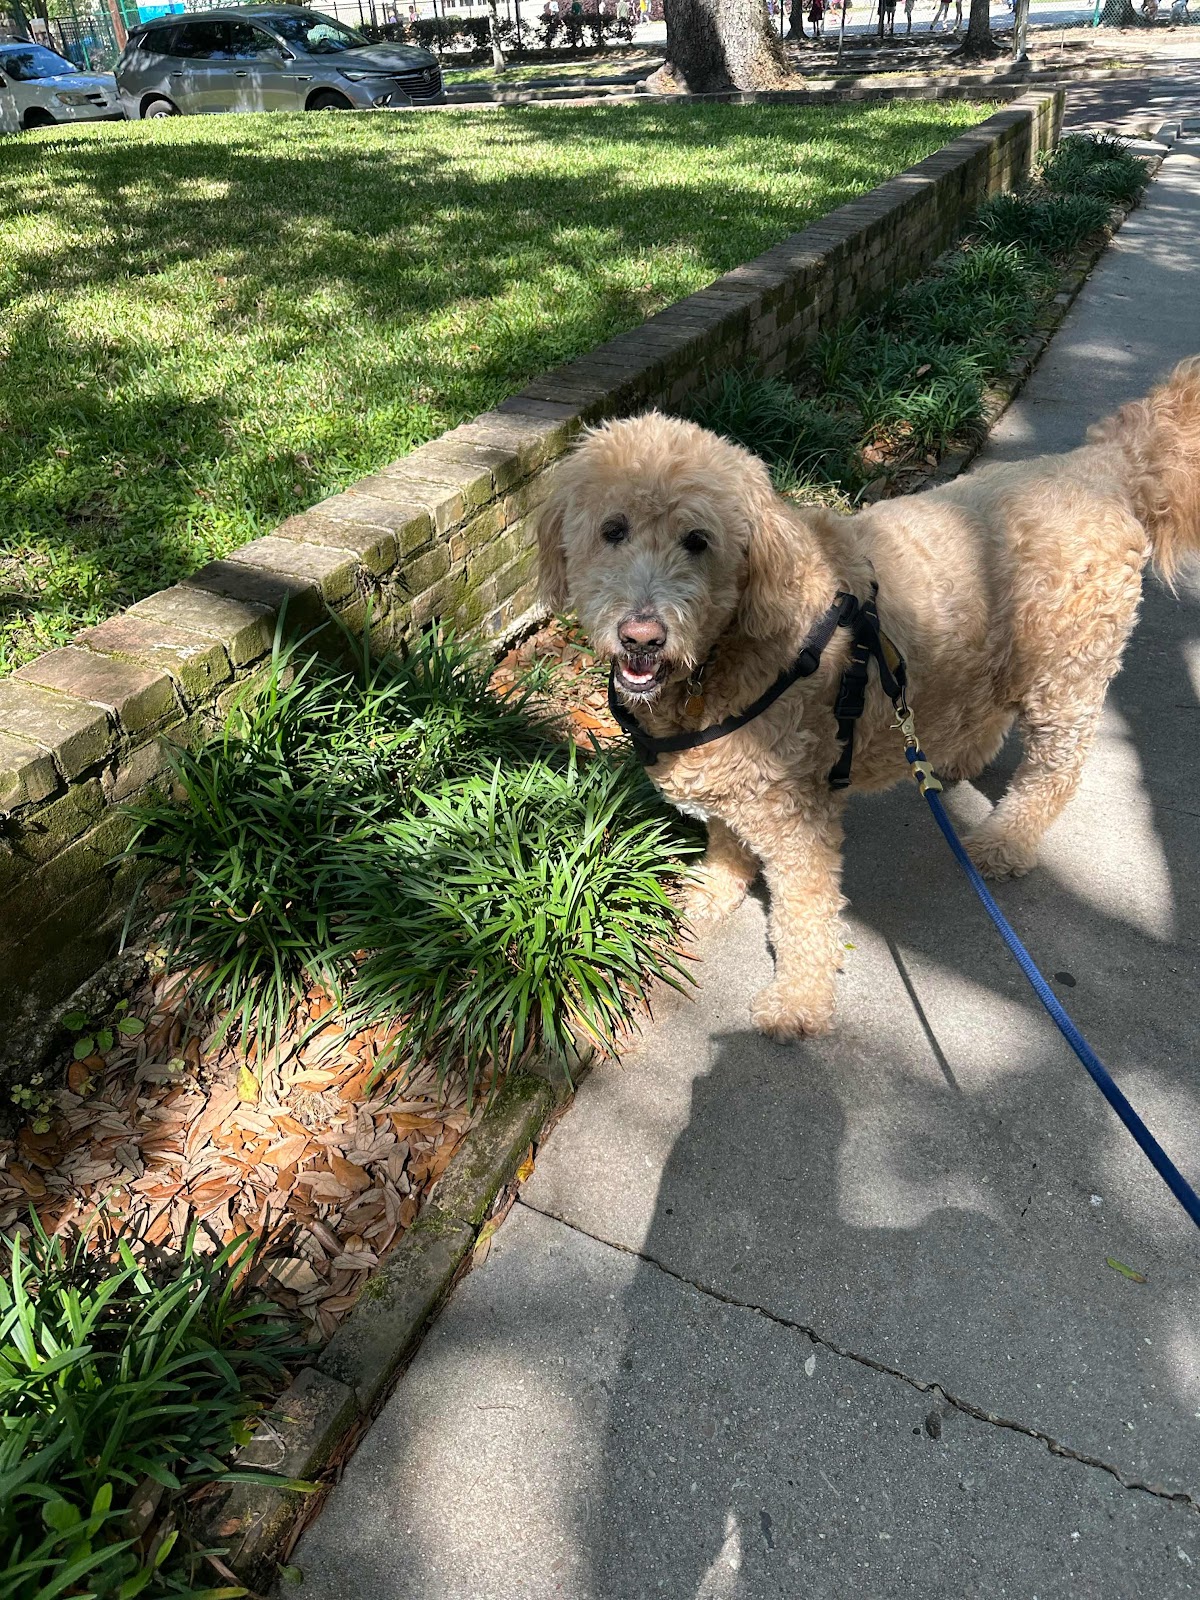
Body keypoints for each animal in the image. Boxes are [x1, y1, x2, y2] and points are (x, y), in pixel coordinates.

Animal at [536, 358, 1200, 1041]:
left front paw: (799, 1001)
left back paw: (1004, 842)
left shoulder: (796, 815)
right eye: (613, 531)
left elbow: (804, 914)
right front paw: (714, 894)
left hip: (1068, 676)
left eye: (697, 540)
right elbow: (725, 843)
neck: (725, 654)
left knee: (1055, 770)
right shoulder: (732, 785)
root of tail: (1098, 465)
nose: (642, 635)